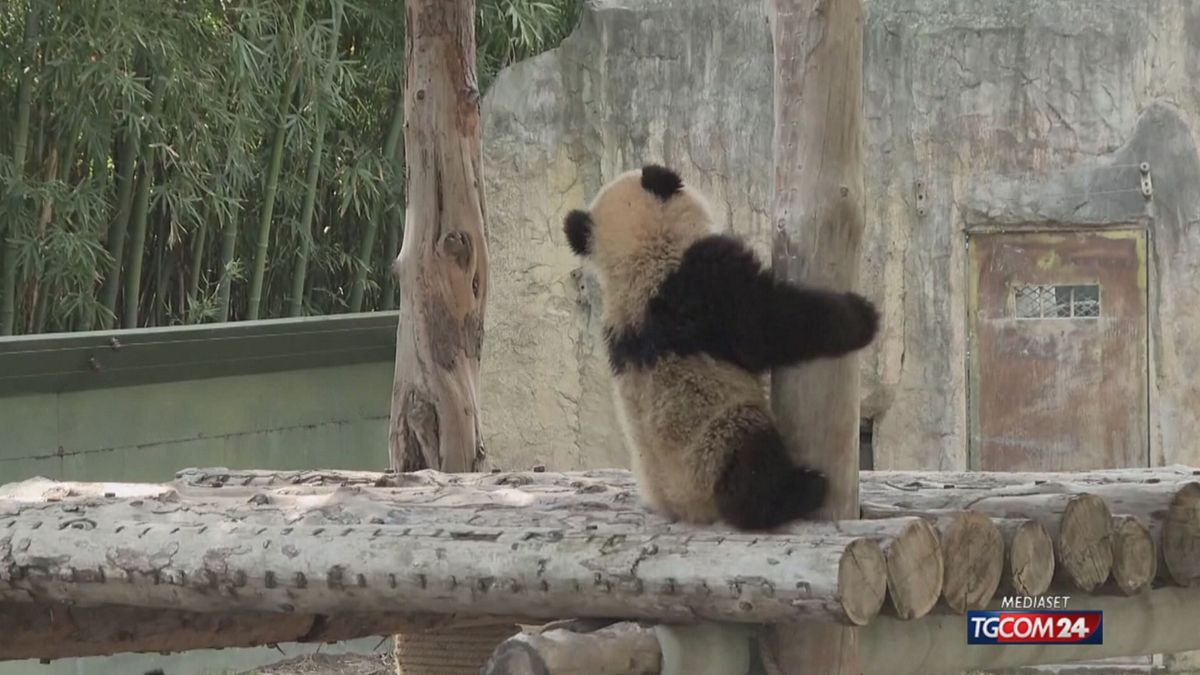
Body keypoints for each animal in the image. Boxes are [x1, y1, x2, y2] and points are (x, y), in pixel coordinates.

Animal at [562, 164, 879, 531]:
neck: (638, 261)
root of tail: (686, 508)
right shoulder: (705, 284)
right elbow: (766, 323)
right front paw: (863, 316)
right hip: (715, 441)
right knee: (750, 463)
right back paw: (799, 491)